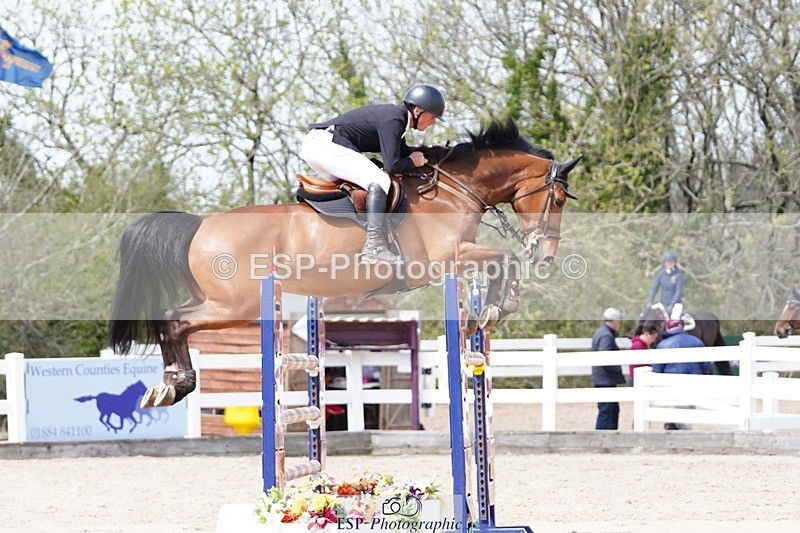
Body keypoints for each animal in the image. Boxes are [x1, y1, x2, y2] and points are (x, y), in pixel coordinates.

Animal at [109, 117, 581, 408]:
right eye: (557, 199)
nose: (545, 253)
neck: (453, 190)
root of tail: (201, 223)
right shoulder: (447, 258)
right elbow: (505, 258)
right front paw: (501, 306)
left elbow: (502, 261)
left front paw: (492, 309)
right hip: (234, 306)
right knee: (174, 319)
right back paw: (177, 385)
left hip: (220, 301)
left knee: (172, 318)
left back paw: (170, 385)